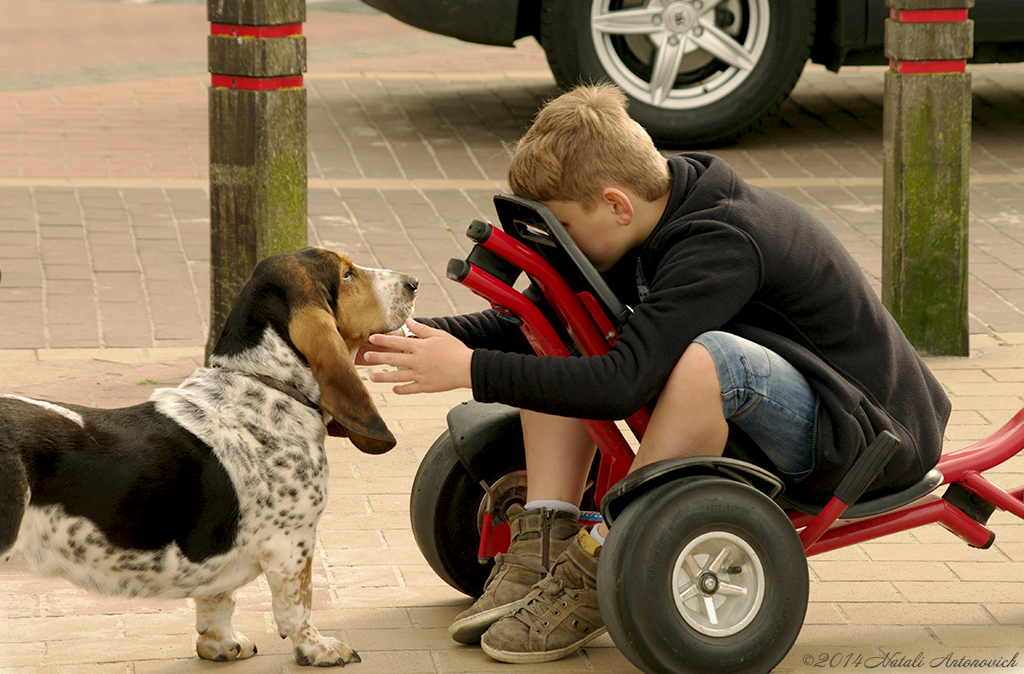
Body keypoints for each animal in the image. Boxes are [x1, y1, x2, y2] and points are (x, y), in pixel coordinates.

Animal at [1, 245, 415, 659]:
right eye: (347, 274)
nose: (413, 282)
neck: (263, 385)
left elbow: (218, 598)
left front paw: (222, 643)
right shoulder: (291, 542)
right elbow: (298, 605)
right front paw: (319, 649)